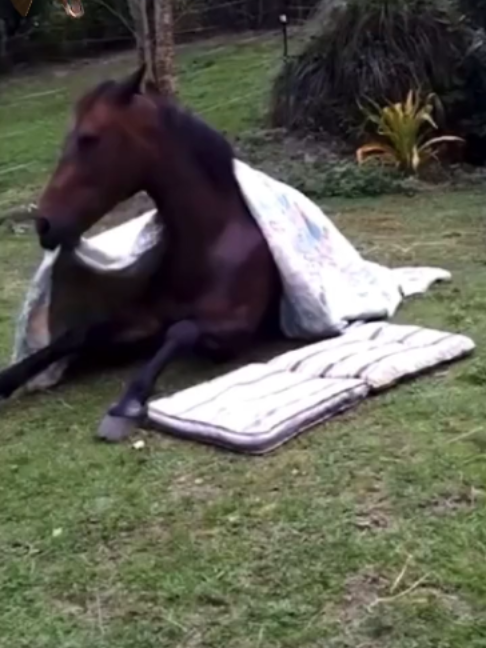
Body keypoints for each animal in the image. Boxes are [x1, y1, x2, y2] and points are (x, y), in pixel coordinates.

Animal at [0, 64, 282, 442]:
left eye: (89, 138)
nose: (43, 224)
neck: (210, 245)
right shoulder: (144, 319)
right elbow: (78, 334)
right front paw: (6, 380)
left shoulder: (233, 330)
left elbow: (181, 331)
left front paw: (127, 403)